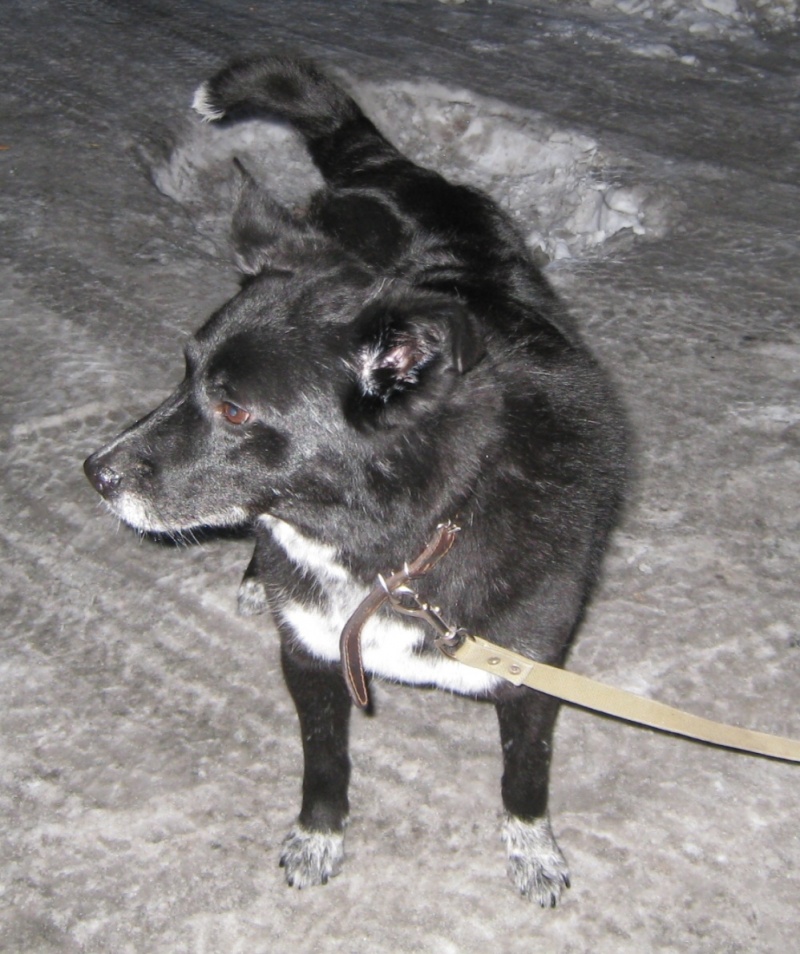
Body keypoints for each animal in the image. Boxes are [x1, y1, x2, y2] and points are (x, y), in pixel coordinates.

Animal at [84, 56, 627, 905]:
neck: (392, 548)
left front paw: (533, 851)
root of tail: (384, 167)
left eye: (233, 408)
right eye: (185, 370)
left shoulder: (531, 673)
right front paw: (319, 837)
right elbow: (325, 763)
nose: (95, 473)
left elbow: (524, 778)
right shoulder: (309, 658)